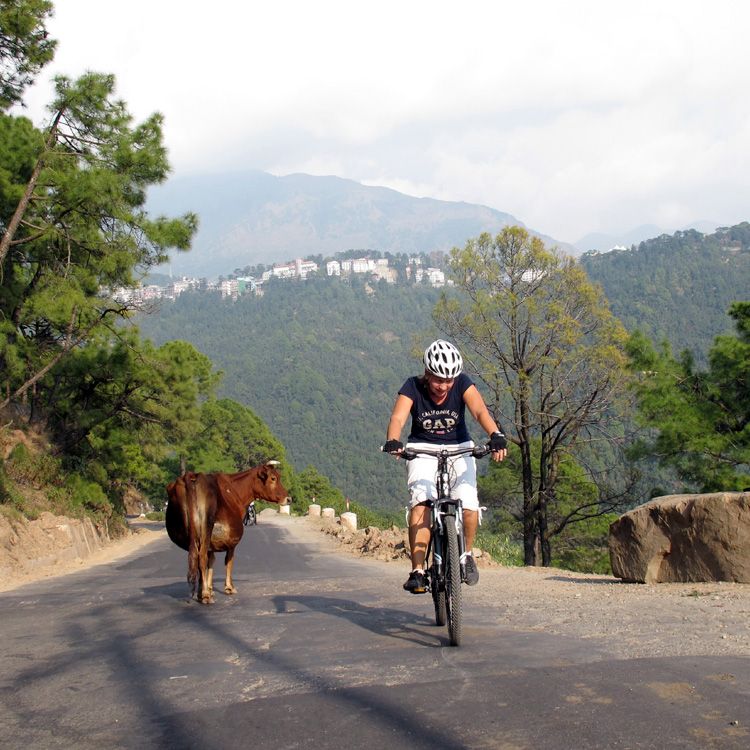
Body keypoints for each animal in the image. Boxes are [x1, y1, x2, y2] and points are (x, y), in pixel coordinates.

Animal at [166, 464, 292, 604]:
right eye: (273, 478)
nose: (288, 499)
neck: (234, 491)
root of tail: (193, 475)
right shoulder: (231, 541)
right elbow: (228, 561)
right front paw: (228, 587)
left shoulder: (212, 543)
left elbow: (211, 561)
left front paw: (208, 588)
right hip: (206, 530)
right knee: (201, 556)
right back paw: (205, 596)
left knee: (196, 557)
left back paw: (201, 593)